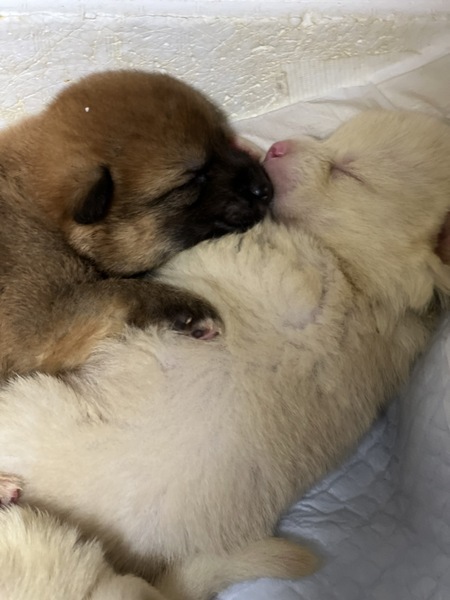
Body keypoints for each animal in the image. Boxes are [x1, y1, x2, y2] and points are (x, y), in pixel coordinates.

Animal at [0, 69, 272, 377]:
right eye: (192, 179)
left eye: (225, 141)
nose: (265, 187)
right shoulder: (37, 326)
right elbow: (115, 289)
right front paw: (188, 311)